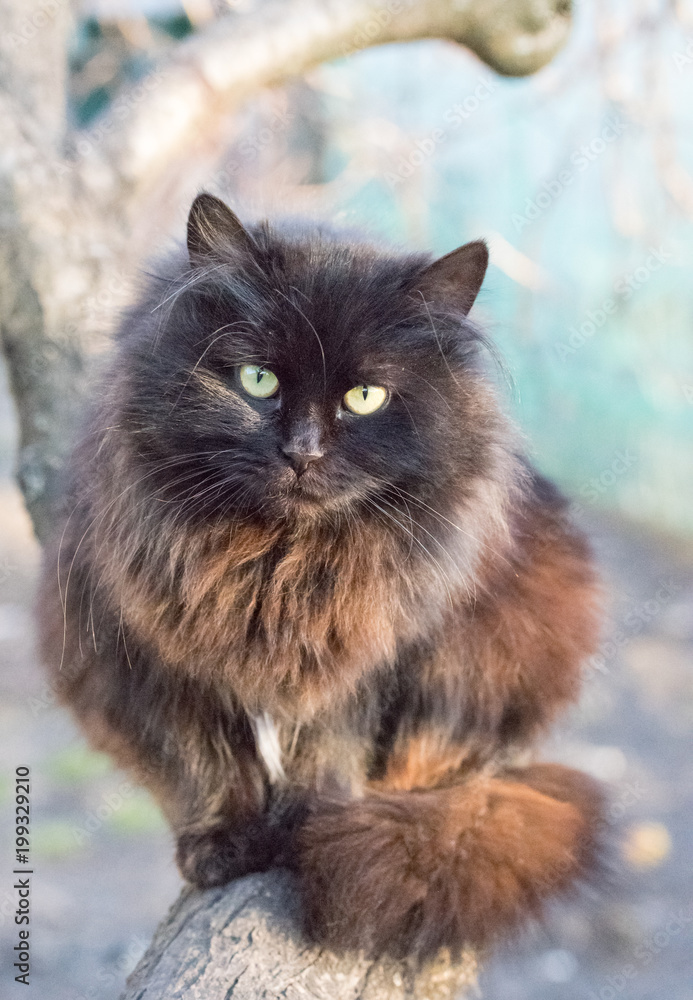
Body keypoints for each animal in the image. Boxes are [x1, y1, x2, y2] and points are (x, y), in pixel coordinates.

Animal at [37, 193, 604, 960]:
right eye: (258, 380)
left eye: (364, 396)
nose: (301, 452)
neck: (278, 563)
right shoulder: (147, 658)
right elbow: (203, 757)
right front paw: (223, 841)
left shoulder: (366, 658)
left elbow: (329, 745)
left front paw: (307, 826)